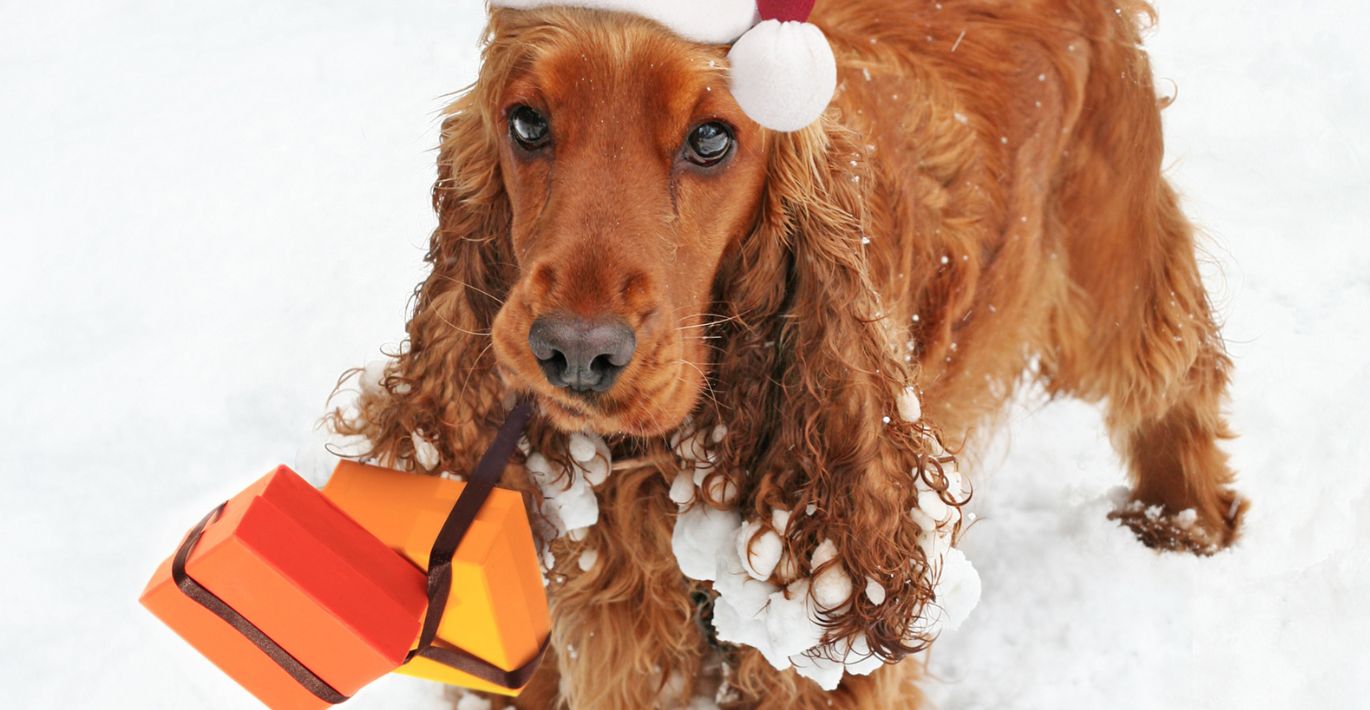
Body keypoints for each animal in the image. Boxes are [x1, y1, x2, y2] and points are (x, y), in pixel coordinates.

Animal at [328, 2, 1243, 707]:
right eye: (526, 123)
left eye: (710, 140)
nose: (575, 354)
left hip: (1106, 260)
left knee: (1178, 366)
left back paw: (1179, 521)